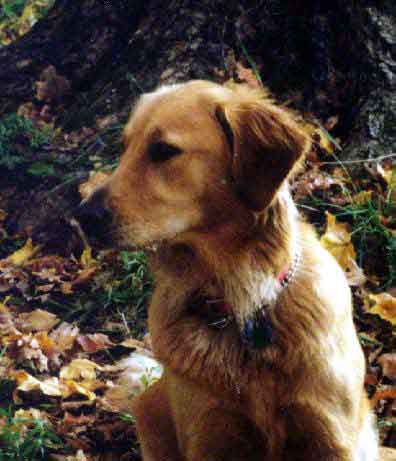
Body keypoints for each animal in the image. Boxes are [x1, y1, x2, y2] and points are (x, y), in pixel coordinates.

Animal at [76, 81, 378, 458]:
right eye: (124, 147)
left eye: (163, 150)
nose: (82, 216)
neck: (241, 304)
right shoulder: (210, 434)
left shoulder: (330, 434)